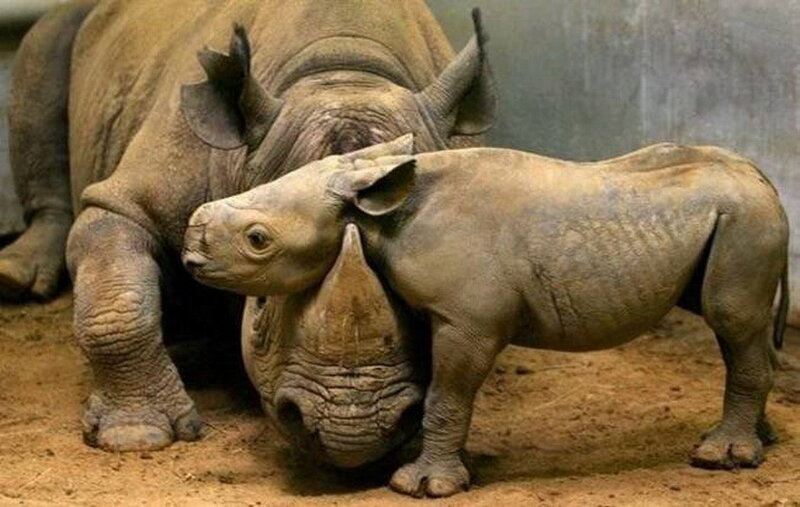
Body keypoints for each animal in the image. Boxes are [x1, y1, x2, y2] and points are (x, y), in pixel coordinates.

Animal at [0, 0, 496, 463]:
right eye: (257, 303)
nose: (354, 435)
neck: (343, 72)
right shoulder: (130, 200)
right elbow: (118, 298)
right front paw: (136, 436)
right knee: (42, 49)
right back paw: (15, 278)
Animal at [184, 135, 790, 497]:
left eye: (257, 240)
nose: (190, 253)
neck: (379, 213)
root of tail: (764, 180)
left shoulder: (466, 320)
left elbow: (446, 395)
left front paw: (422, 486)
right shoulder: (438, 311)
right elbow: (436, 392)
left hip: (746, 221)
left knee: (731, 319)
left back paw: (720, 458)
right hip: (734, 216)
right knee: (740, 328)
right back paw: (757, 440)